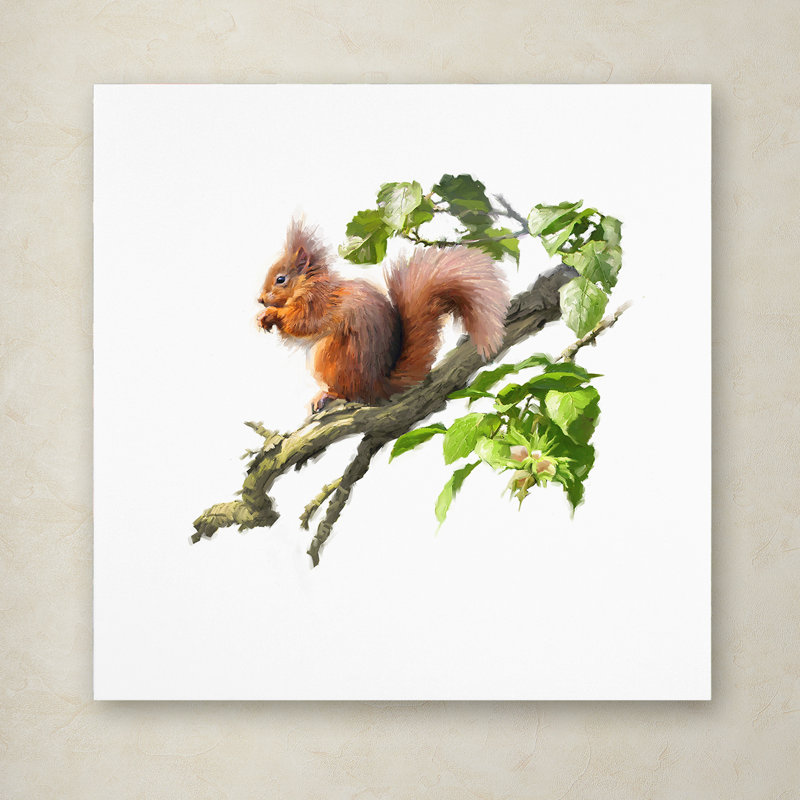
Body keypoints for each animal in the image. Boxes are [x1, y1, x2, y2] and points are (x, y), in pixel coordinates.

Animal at [257, 219, 510, 412]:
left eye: (281, 279)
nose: (260, 299)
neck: (308, 285)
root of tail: (377, 386)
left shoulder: (317, 304)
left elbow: (302, 323)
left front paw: (272, 314)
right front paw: (261, 318)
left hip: (328, 356)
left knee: (346, 393)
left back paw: (327, 395)